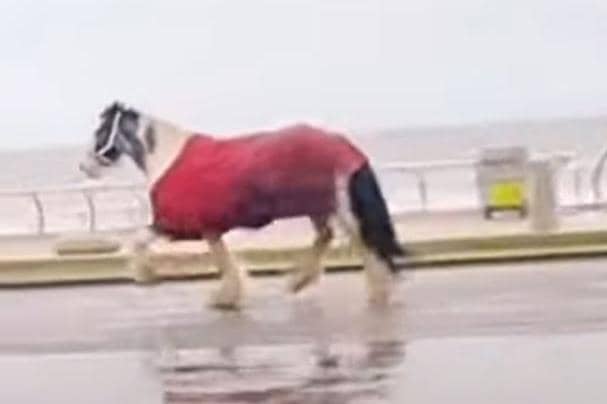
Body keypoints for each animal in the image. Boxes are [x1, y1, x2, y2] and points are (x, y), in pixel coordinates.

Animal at [79, 102, 404, 310]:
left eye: (100, 131)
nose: (85, 167)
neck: (167, 159)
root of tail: (346, 146)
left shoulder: (173, 224)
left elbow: (137, 240)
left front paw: (146, 275)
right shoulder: (209, 228)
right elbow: (224, 260)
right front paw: (227, 297)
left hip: (335, 205)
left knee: (361, 241)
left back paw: (376, 291)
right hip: (322, 207)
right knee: (334, 238)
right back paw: (302, 282)